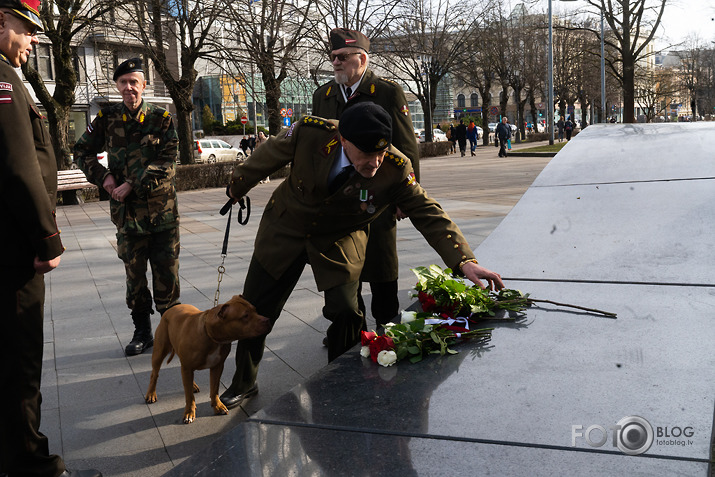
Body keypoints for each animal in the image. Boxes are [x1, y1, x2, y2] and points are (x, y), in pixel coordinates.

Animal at [145, 294, 272, 424]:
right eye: (245, 316)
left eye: (255, 310)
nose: (268, 320)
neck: (210, 336)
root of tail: (170, 309)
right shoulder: (188, 367)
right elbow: (189, 396)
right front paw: (189, 412)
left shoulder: (217, 366)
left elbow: (214, 389)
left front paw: (217, 406)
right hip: (159, 352)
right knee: (154, 374)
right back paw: (151, 394)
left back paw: (193, 385)